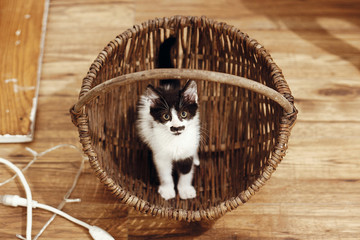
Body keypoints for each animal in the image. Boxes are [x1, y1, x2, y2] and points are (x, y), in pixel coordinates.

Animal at [136, 37, 201, 200]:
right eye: (166, 116)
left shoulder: (186, 153)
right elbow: (165, 174)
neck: (175, 141)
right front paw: (167, 190)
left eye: (183, 114)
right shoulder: (160, 154)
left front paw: (185, 190)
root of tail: (168, 86)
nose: (176, 127)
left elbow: (186, 171)